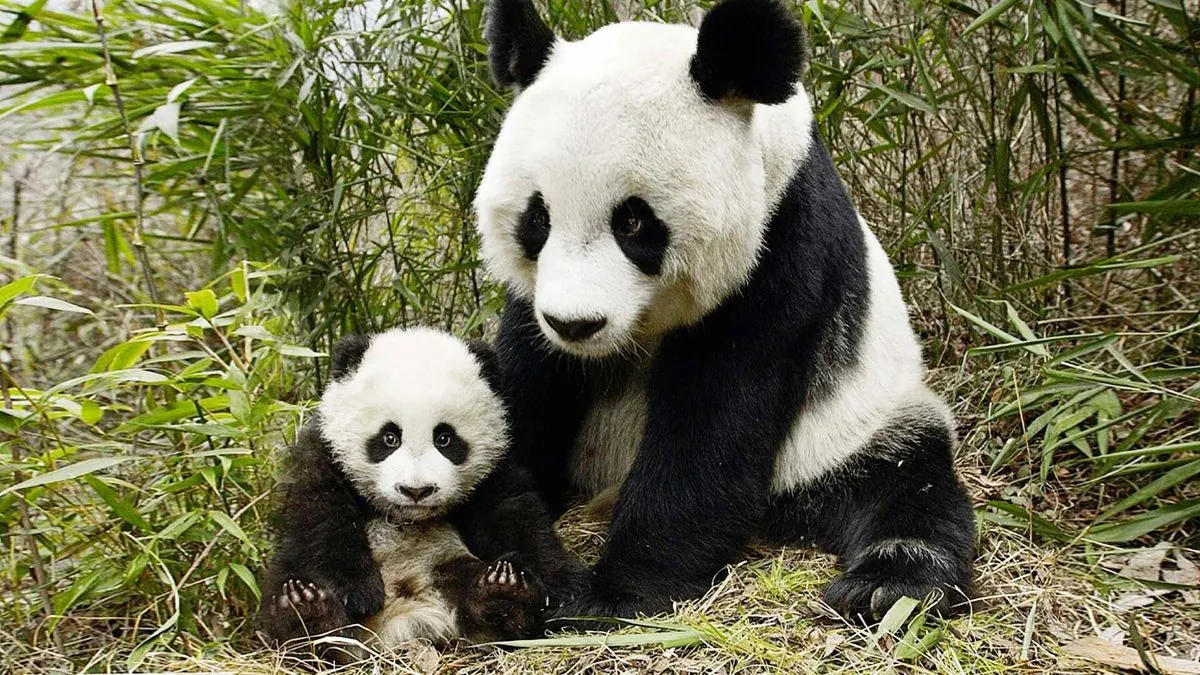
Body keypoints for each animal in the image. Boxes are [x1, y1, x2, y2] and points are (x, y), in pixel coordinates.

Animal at [470, 0, 974, 619]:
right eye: (537, 218)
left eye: (632, 221)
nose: (575, 324)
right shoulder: (534, 304)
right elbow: (528, 385)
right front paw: (510, 559)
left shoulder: (780, 248)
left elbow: (715, 421)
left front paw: (612, 595)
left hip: (855, 424)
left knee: (905, 482)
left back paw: (888, 584)